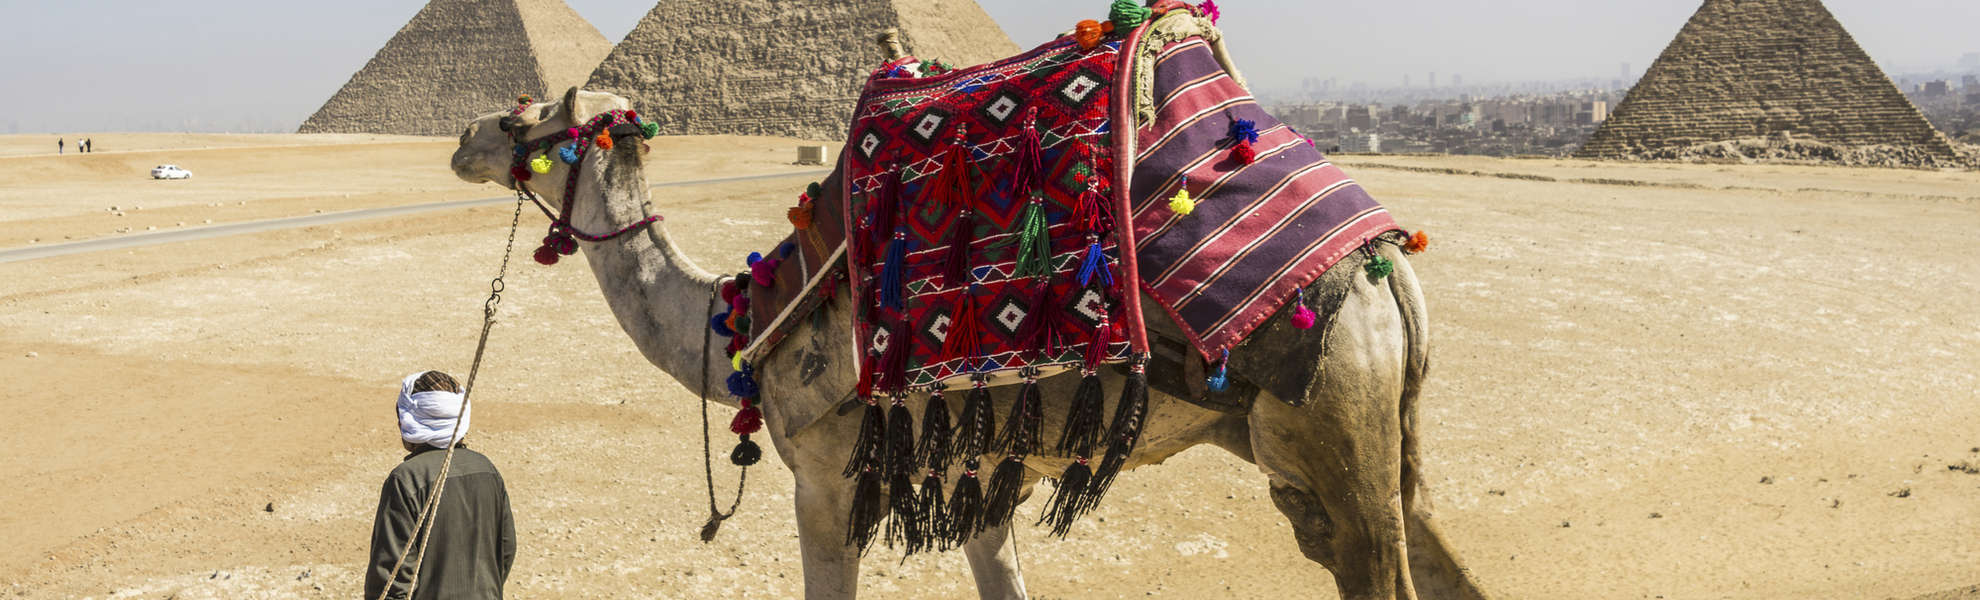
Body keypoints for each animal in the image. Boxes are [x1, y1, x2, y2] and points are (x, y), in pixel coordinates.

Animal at [450, 86, 1492, 600]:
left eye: (523, 116)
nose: (461, 140)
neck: (745, 321)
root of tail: (1392, 264)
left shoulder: (825, 479)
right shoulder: (983, 473)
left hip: (1335, 408)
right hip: (1347, 439)